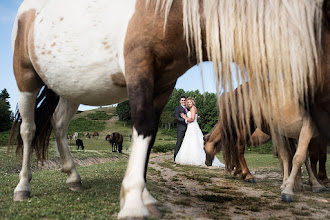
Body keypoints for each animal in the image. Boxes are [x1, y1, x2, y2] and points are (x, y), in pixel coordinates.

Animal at [9, 0, 328, 219]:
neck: (165, 13)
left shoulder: (163, 86)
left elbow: (149, 137)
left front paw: (143, 196)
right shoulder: (139, 71)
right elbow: (142, 126)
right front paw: (134, 202)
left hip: (72, 89)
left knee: (59, 125)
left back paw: (73, 178)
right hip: (26, 78)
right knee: (29, 129)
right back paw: (22, 187)